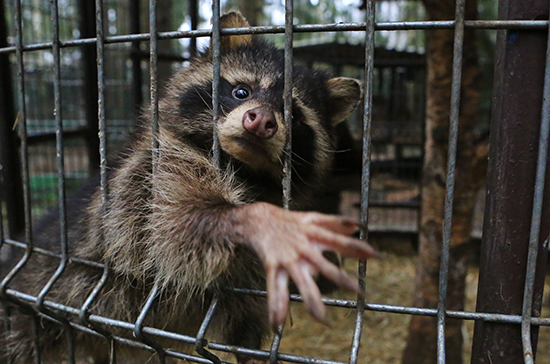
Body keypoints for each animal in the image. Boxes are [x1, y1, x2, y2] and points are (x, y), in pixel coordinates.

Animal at [0, 11, 376, 364]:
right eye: (242, 91)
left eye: (294, 116)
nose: (262, 121)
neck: (244, 170)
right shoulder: (151, 177)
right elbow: (177, 225)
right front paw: (260, 220)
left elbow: (245, 312)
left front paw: (251, 349)